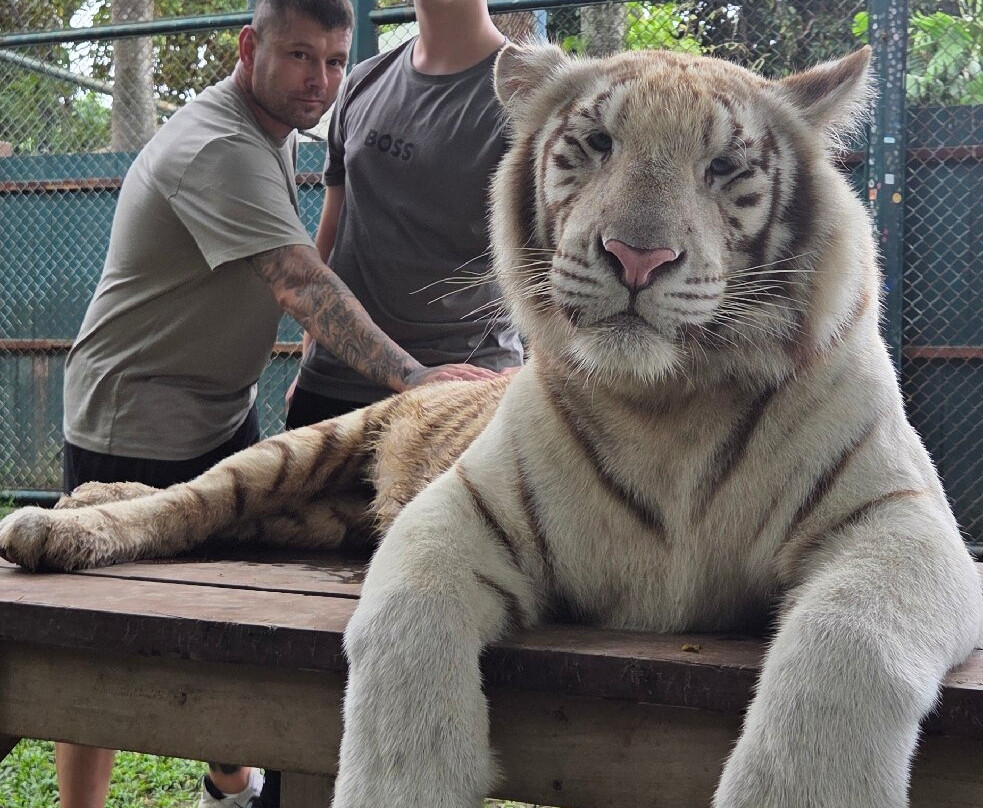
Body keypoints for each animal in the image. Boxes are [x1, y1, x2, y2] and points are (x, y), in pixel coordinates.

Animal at [1, 41, 981, 808]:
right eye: (594, 145)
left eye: (724, 170)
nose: (637, 256)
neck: (668, 405)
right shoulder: (463, 505)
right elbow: (406, 633)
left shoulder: (900, 524)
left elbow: (847, 642)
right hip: (304, 446)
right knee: (193, 498)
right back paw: (60, 521)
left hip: (315, 514)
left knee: (228, 516)